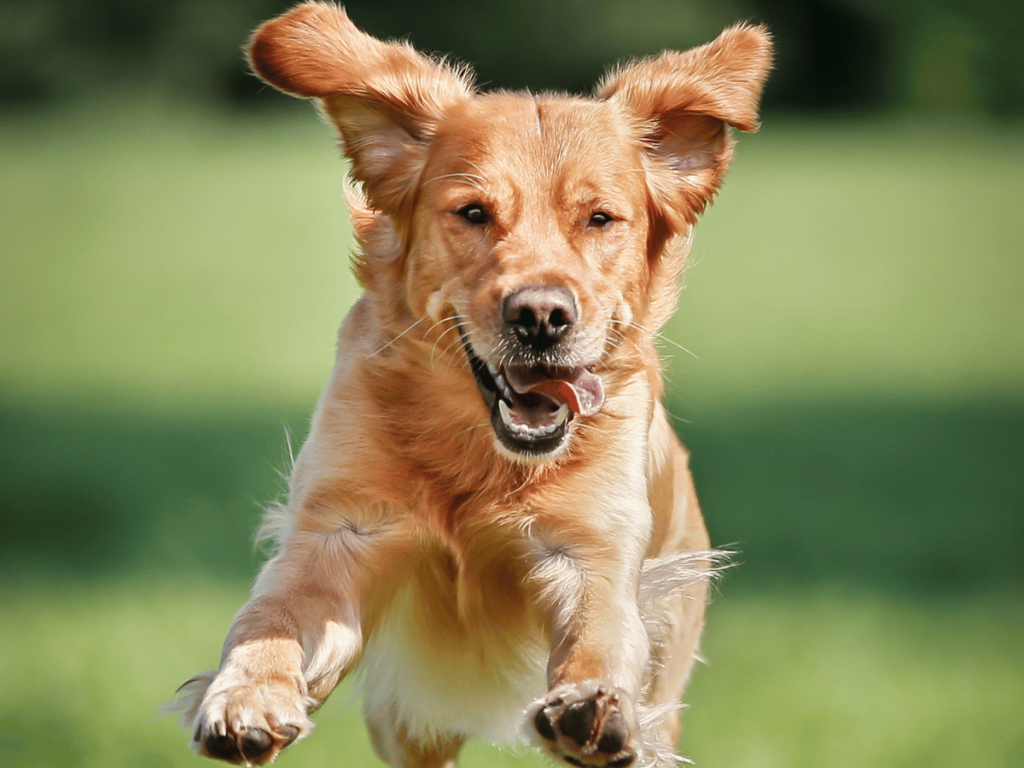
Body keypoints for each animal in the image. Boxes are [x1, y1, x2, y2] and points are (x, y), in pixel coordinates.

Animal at [174, 3, 770, 765]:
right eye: (474, 213)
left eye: (599, 219)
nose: (540, 317)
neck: (480, 453)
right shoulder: (335, 532)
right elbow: (269, 619)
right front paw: (246, 694)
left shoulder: (592, 548)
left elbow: (600, 635)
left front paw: (592, 704)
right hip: (406, 718)